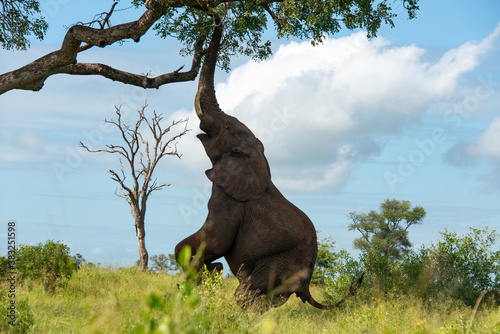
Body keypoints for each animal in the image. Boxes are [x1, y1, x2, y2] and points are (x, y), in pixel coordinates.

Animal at [174, 17, 362, 310]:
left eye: (227, 127)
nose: (219, 15)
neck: (258, 159)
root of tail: (307, 285)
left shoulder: (228, 199)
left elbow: (215, 241)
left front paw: (208, 270)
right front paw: (210, 272)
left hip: (277, 263)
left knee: (245, 294)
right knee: (263, 303)